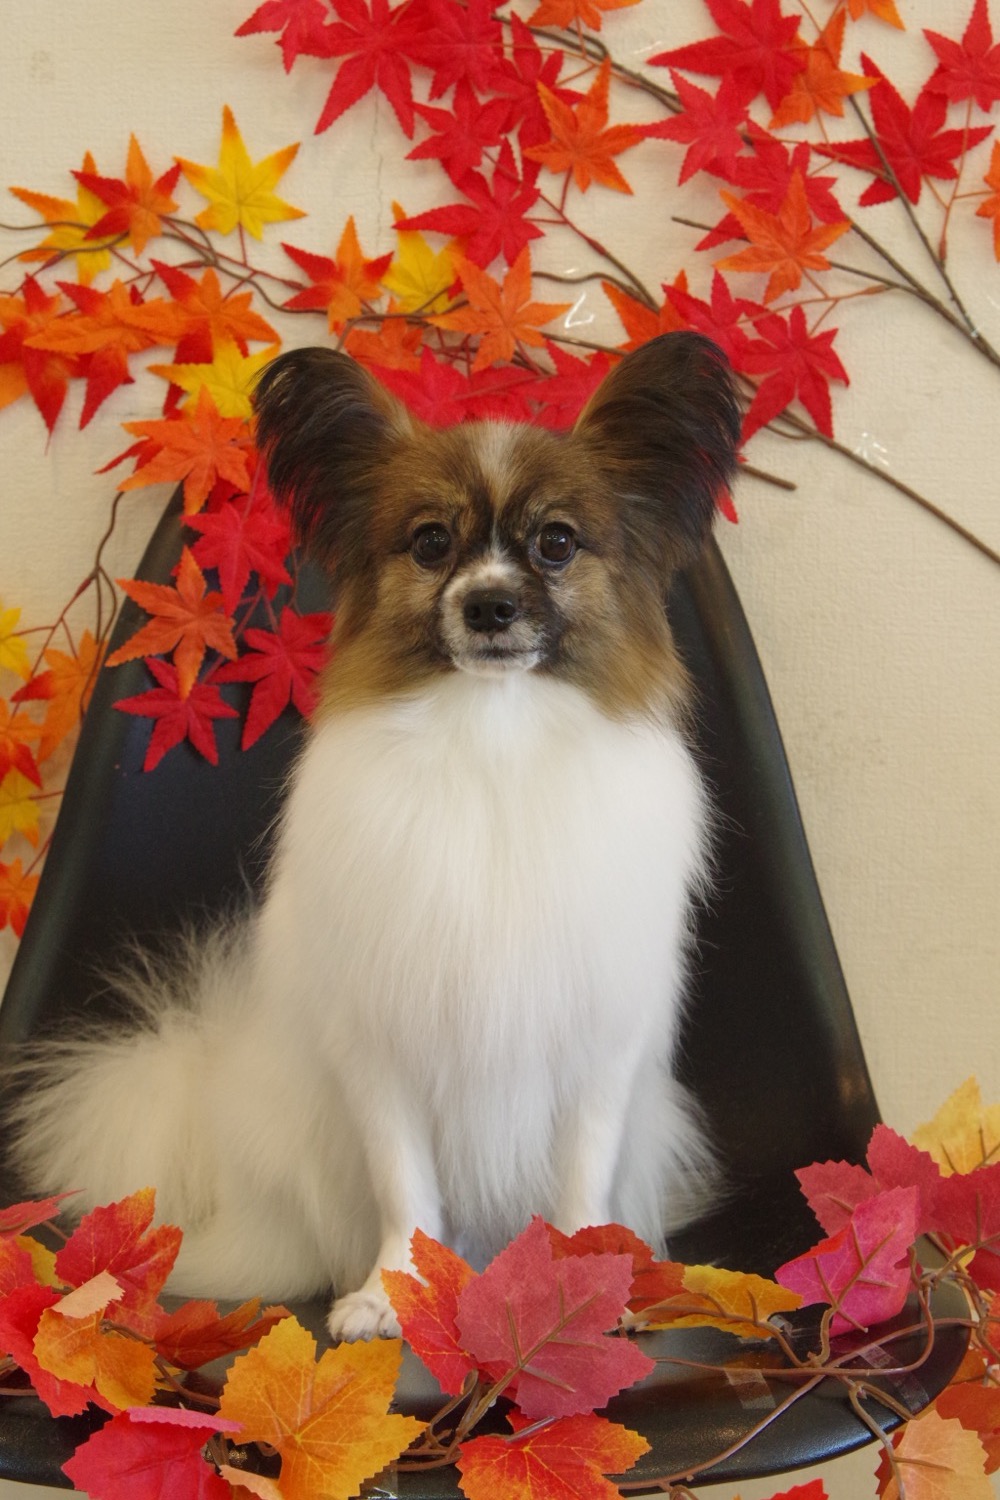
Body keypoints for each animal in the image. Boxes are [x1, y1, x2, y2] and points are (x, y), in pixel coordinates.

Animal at [7, 331, 740, 1341]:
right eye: (431, 542)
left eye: (556, 542)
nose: (489, 606)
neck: (494, 738)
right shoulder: (384, 1044)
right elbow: (406, 1186)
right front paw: (393, 1291)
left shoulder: (594, 1041)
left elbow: (580, 1181)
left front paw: (588, 1281)